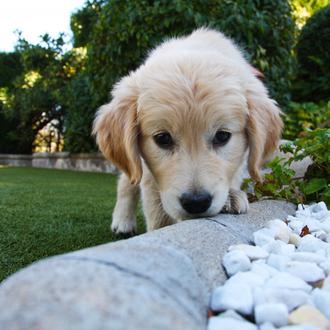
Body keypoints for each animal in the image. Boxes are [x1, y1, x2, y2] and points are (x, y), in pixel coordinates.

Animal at [92, 28, 282, 235]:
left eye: (222, 136)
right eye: (162, 138)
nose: (196, 202)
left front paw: (231, 197)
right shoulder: (150, 175)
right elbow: (159, 217)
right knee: (128, 181)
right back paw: (123, 221)